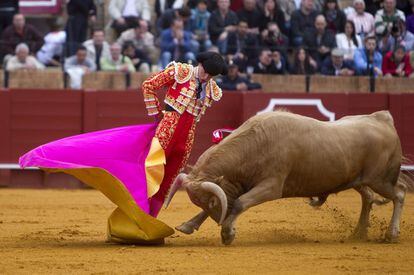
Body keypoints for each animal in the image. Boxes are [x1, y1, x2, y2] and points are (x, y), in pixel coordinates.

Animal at [164, 111, 408, 245]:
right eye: (205, 203)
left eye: (212, 202)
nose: (221, 222)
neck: (256, 143)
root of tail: (382, 119)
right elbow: (231, 202)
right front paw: (188, 225)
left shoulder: (271, 186)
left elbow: (240, 203)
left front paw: (227, 234)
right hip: (358, 180)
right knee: (368, 198)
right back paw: (358, 233)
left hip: (380, 179)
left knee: (399, 193)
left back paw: (391, 234)